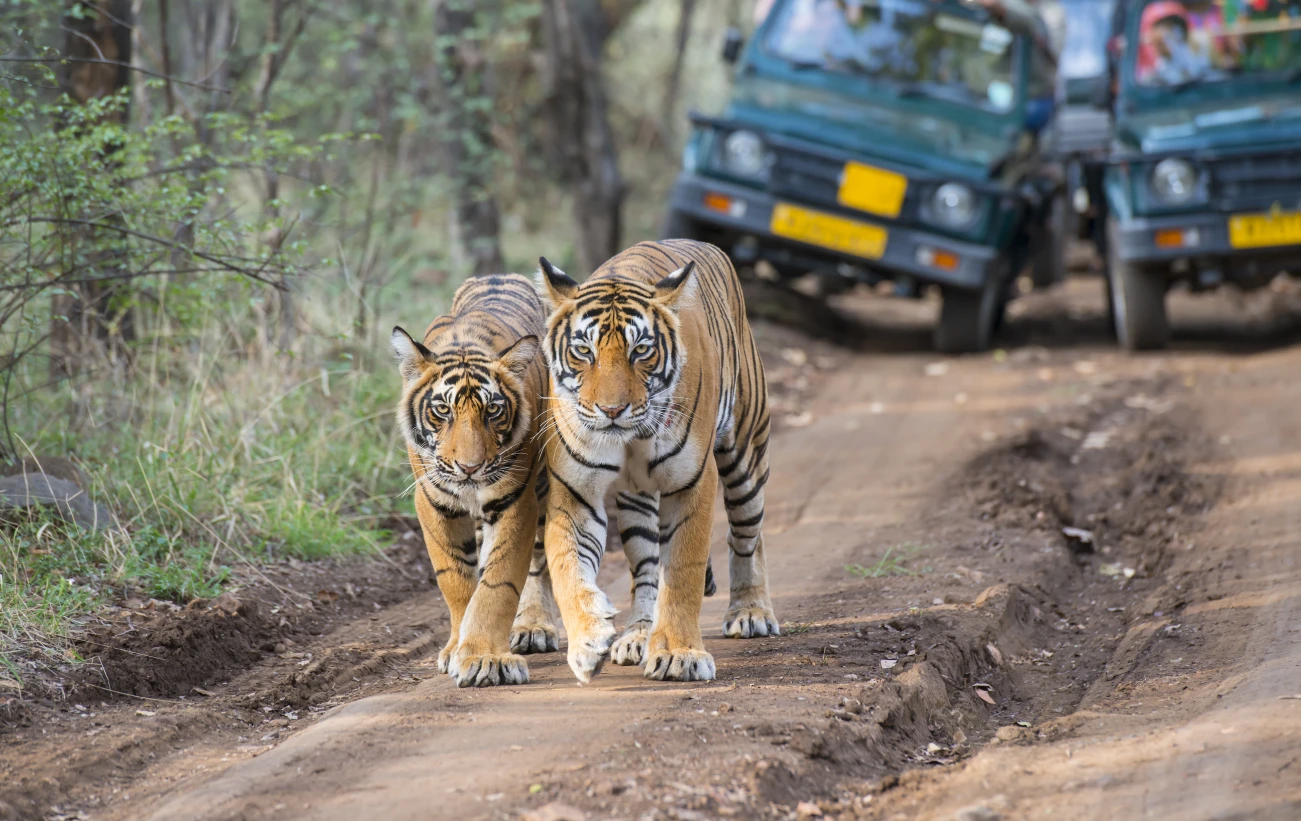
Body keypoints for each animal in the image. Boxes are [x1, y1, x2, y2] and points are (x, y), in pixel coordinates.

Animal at [535, 239, 778, 684]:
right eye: (584, 351)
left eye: (641, 351)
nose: (611, 410)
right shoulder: (575, 494)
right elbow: (567, 568)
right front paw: (589, 642)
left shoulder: (692, 483)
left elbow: (682, 570)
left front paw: (680, 655)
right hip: (637, 500)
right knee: (647, 569)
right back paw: (637, 636)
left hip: (746, 458)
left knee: (746, 536)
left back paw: (750, 612)